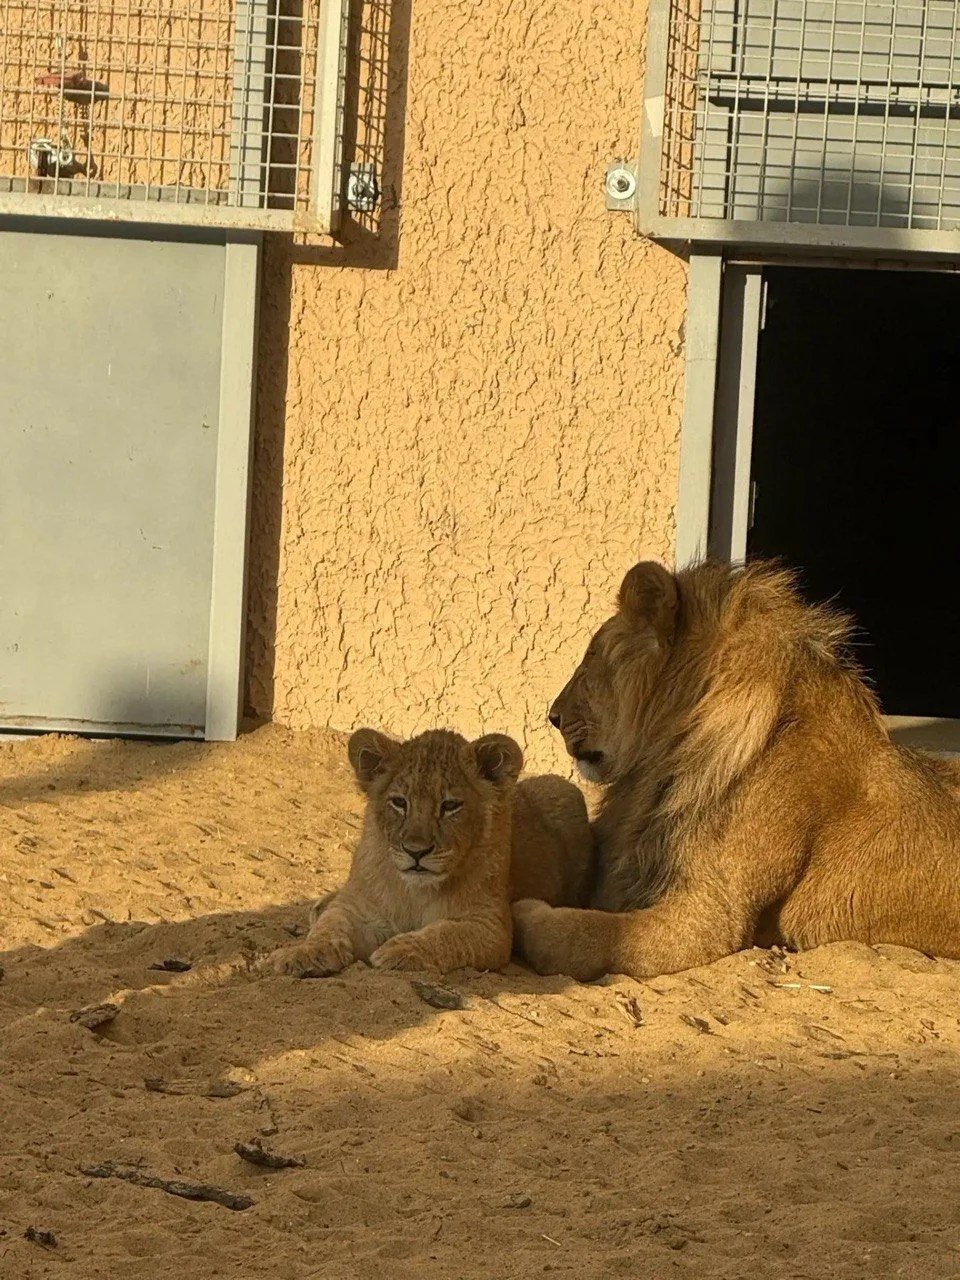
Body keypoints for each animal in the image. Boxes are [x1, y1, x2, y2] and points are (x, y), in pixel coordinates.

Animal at [264, 728, 594, 977]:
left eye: (450, 806)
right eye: (400, 802)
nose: (416, 852)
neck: (416, 892)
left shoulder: (491, 927)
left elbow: (446, 934)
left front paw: (400, 949)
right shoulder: (360, 908)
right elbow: (331, 926)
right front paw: (300, 954)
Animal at [512, 559, 960, 982]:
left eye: (591, 658)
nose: (553, 716)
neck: (673, 749)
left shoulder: (711, 917)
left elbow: (585, 932)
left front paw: (524, 913)